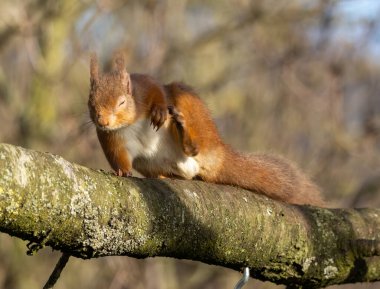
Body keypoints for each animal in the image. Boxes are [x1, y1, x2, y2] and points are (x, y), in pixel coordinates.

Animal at [88, 54, 324, 205]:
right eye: (91, 102)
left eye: (121, 102)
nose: (103, 121)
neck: (128, 122)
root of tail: (219, 154)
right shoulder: (112, 138)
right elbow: (118, 155)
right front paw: (122, 171)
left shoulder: (145, 87)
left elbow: (157, 91)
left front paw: (159, 111)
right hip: (149, 164)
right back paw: (165, 177)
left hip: (191, 109)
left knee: (193, 147)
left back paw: (186, 136)